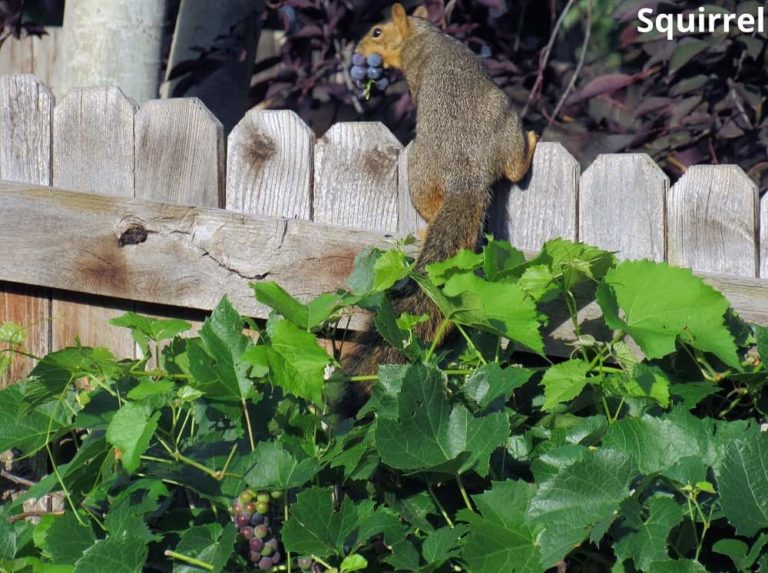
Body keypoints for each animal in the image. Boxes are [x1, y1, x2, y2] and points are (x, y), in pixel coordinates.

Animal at [338, 3, 538, 416]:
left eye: (377, 32)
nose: (360, 53)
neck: (423, 34)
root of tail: (466, 175)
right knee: (511, 169)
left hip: (432, 165)